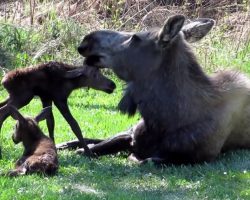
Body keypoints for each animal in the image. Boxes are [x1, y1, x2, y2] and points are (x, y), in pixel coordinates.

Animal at [73, 14, 250, 166]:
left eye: (135, 37)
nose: (87, 39)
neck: (162, 120)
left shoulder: (197, 157)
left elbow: (144, 159)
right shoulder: (132, 134)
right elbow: (90, 149)